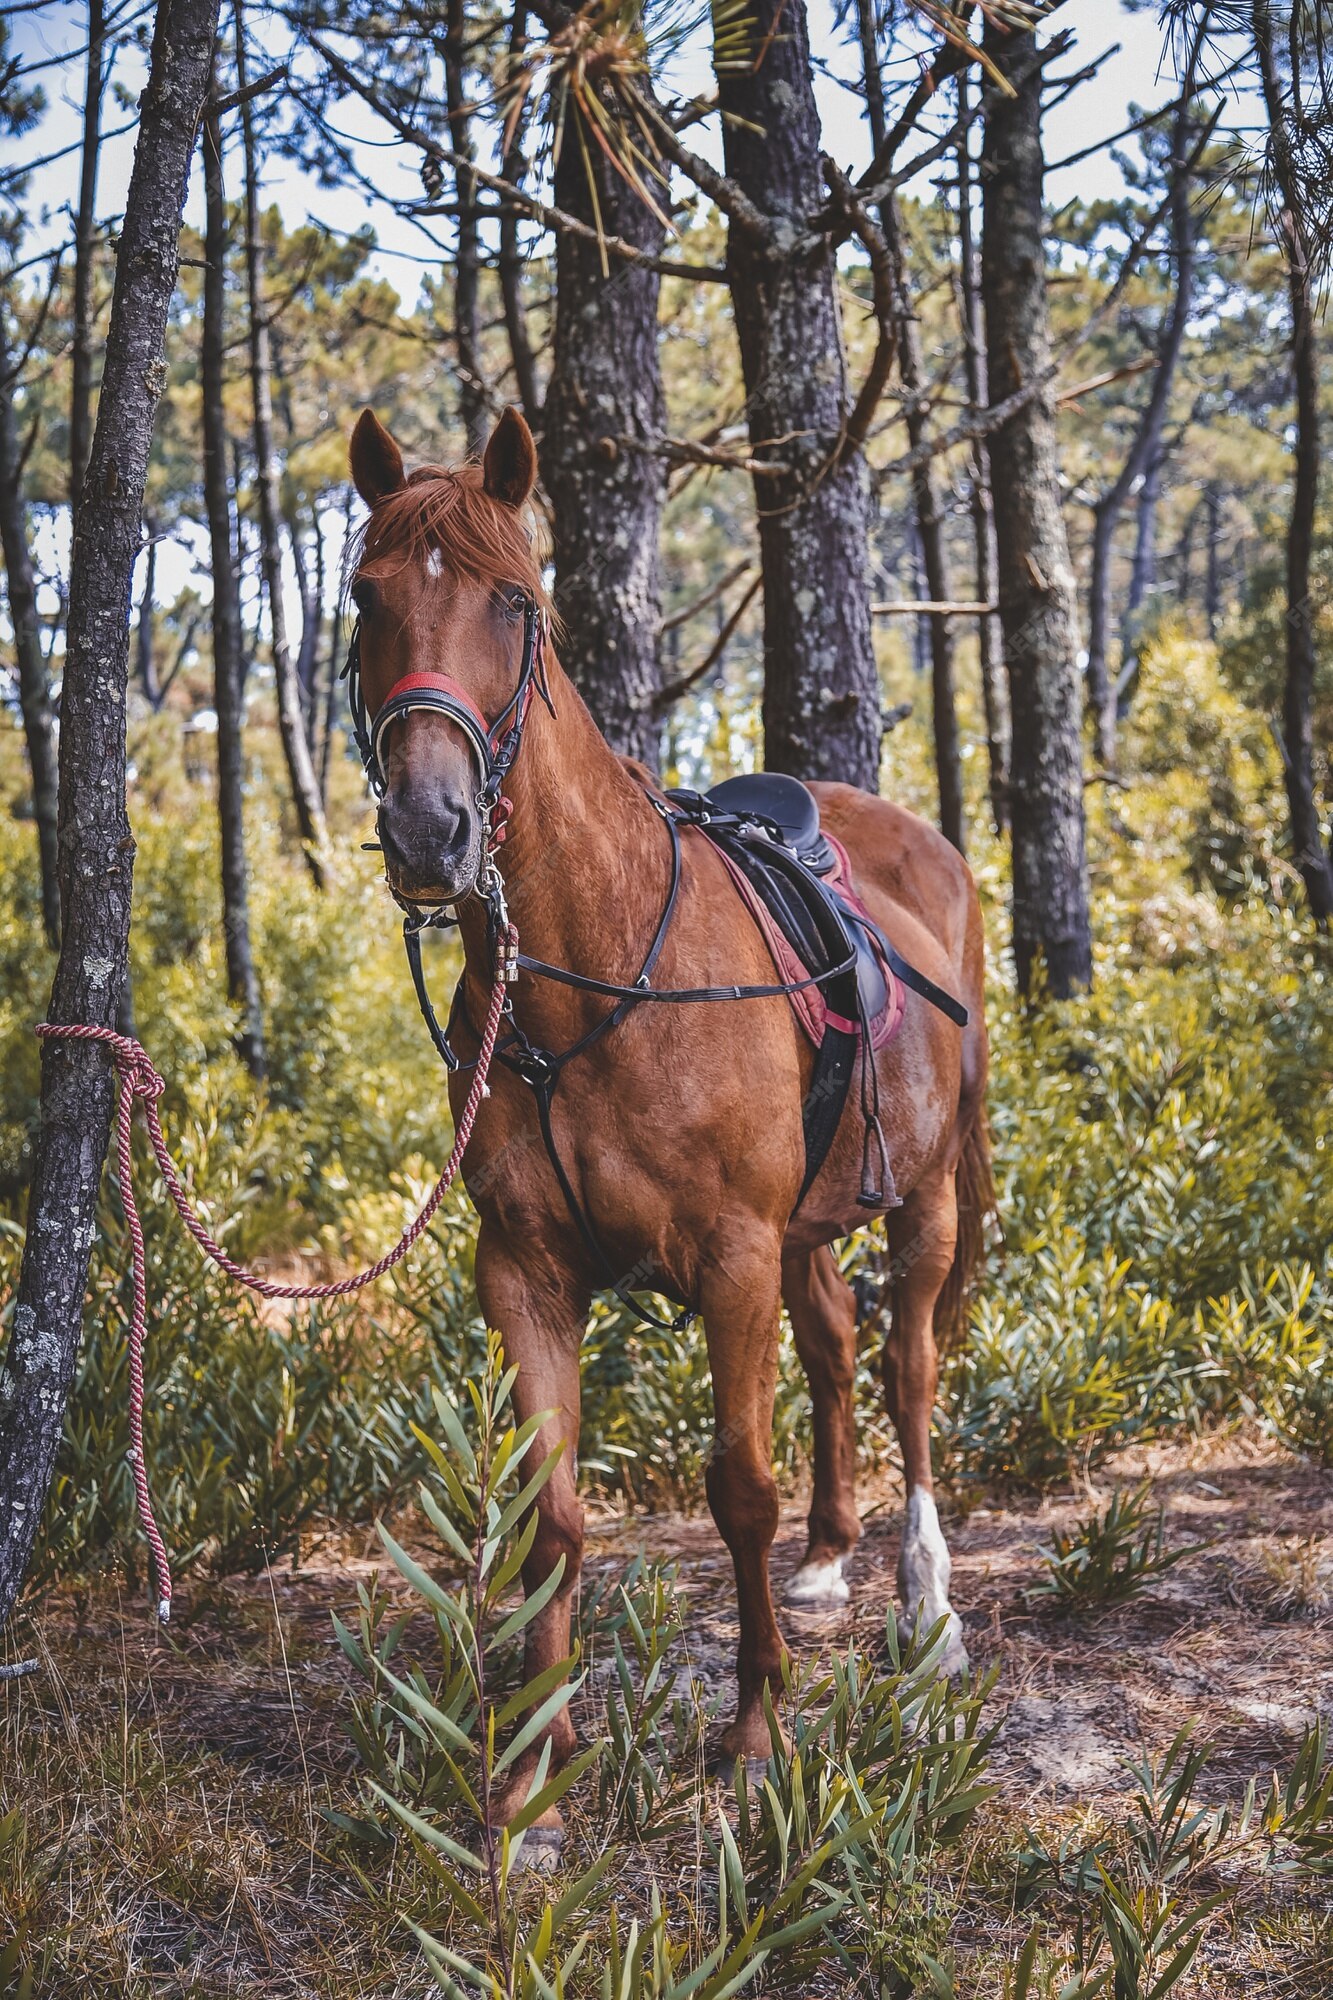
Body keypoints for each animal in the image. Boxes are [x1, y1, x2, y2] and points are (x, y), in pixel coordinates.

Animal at [342, 410, 984, 1856]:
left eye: (515, 603)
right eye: (364, 598)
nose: (429, 827)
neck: (590, 969)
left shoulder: (731, 1258)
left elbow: (732, 1487)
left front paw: (753, 1738)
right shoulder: (524, 1271)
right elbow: (553, 1511)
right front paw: (537, 1764)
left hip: (919, 1202)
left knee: (908, 1367)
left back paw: (924, 1603)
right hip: (810, 1229)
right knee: (837, 1347)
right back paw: (827, 1560)